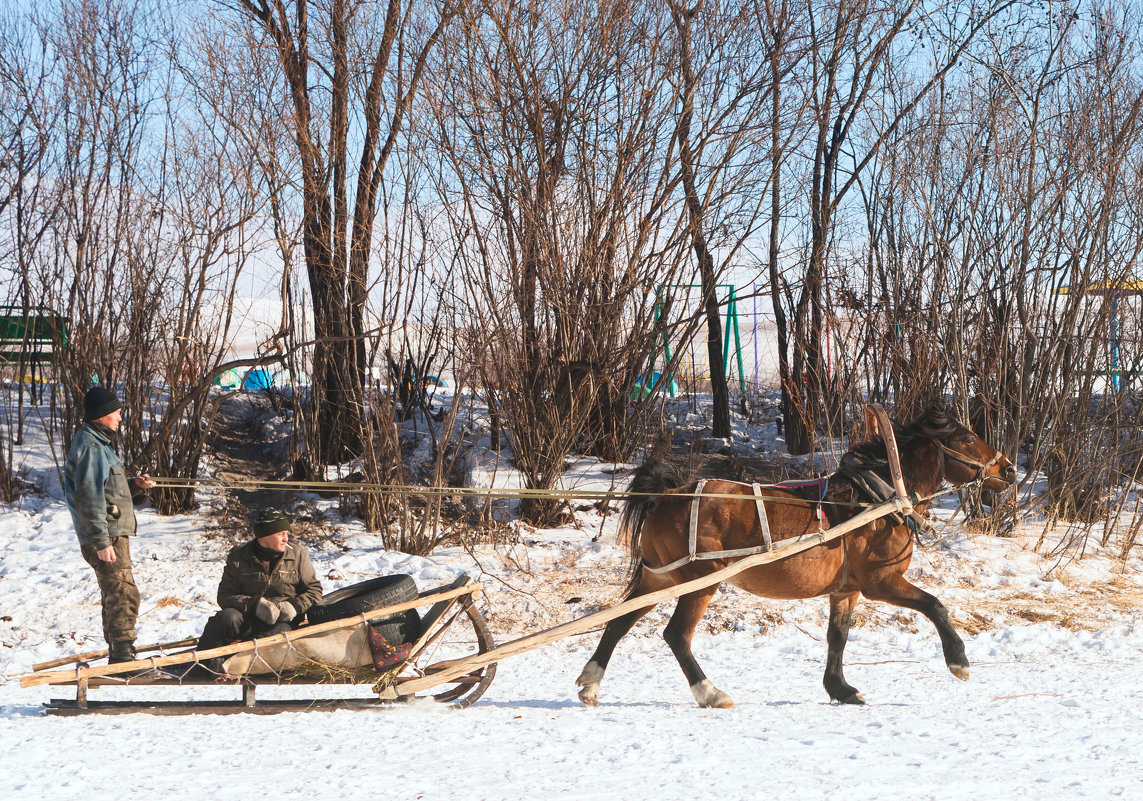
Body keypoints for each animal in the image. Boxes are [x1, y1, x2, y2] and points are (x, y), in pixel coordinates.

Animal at [576, 406, 1014, 703]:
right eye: (968, 439)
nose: (1008, 470)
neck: (877, 498)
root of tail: (667, 495)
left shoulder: (846, 590)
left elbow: (838, 637)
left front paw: (840, 688)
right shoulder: (880, 582)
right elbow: (935, 605)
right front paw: (959, 661)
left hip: (660, 577)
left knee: (618, 622)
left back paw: (591, 682)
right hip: (699, 581)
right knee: (676, 635)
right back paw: (710, 692)